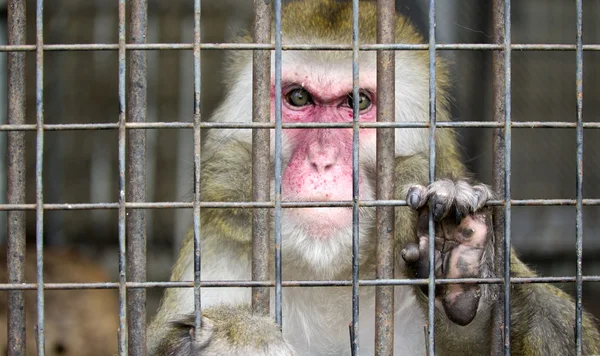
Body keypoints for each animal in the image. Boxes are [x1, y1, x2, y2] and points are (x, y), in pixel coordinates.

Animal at [146, 1, 600, 354]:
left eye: (357, 102)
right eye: (298, 98)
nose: (322, 161)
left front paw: (465, 271)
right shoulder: (213, 255)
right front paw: (235, 339)